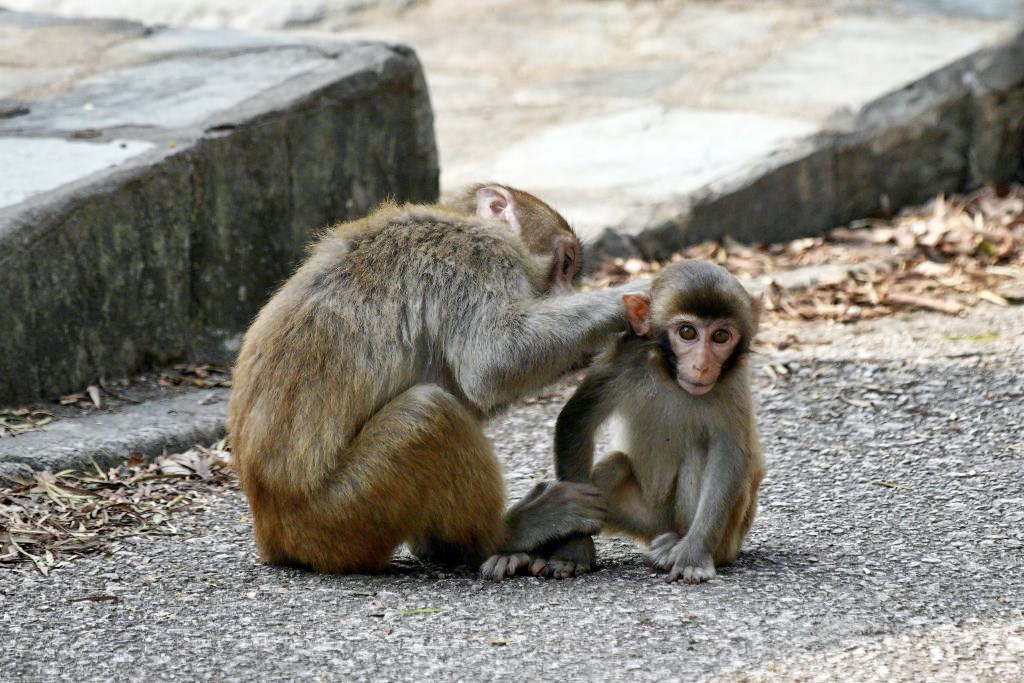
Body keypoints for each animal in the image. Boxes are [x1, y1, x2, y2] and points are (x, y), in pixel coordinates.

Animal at [228, 183, 643, 577]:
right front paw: (624, 298)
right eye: (566, 264)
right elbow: (492, 362)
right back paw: (500, 537)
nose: (569, 292)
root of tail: (272, 531)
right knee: (428, 412)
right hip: (340, 516)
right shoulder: (478, 257)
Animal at [524, 260, 765, 581]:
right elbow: (577, 421)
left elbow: (728, 454)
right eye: (687, 332)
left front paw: (693, 554)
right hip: (641, 518)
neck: (670, 377)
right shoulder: (625, 357)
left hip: (727, 539)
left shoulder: (732, 382)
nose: (701, 366)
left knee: (700, 456)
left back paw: (676, 544)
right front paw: (573, 548)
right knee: (615, 464)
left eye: (721, 337)